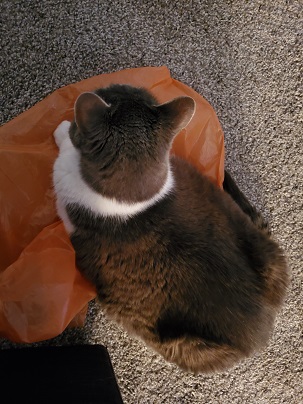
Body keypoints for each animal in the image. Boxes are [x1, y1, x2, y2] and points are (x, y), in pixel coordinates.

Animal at [52, 83, 290, 374]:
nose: (103, 84)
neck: (133, 198)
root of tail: (261, 331)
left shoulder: (65, 194)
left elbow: (65, 150)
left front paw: (62, 129)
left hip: (185, 345)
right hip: (269, 255)